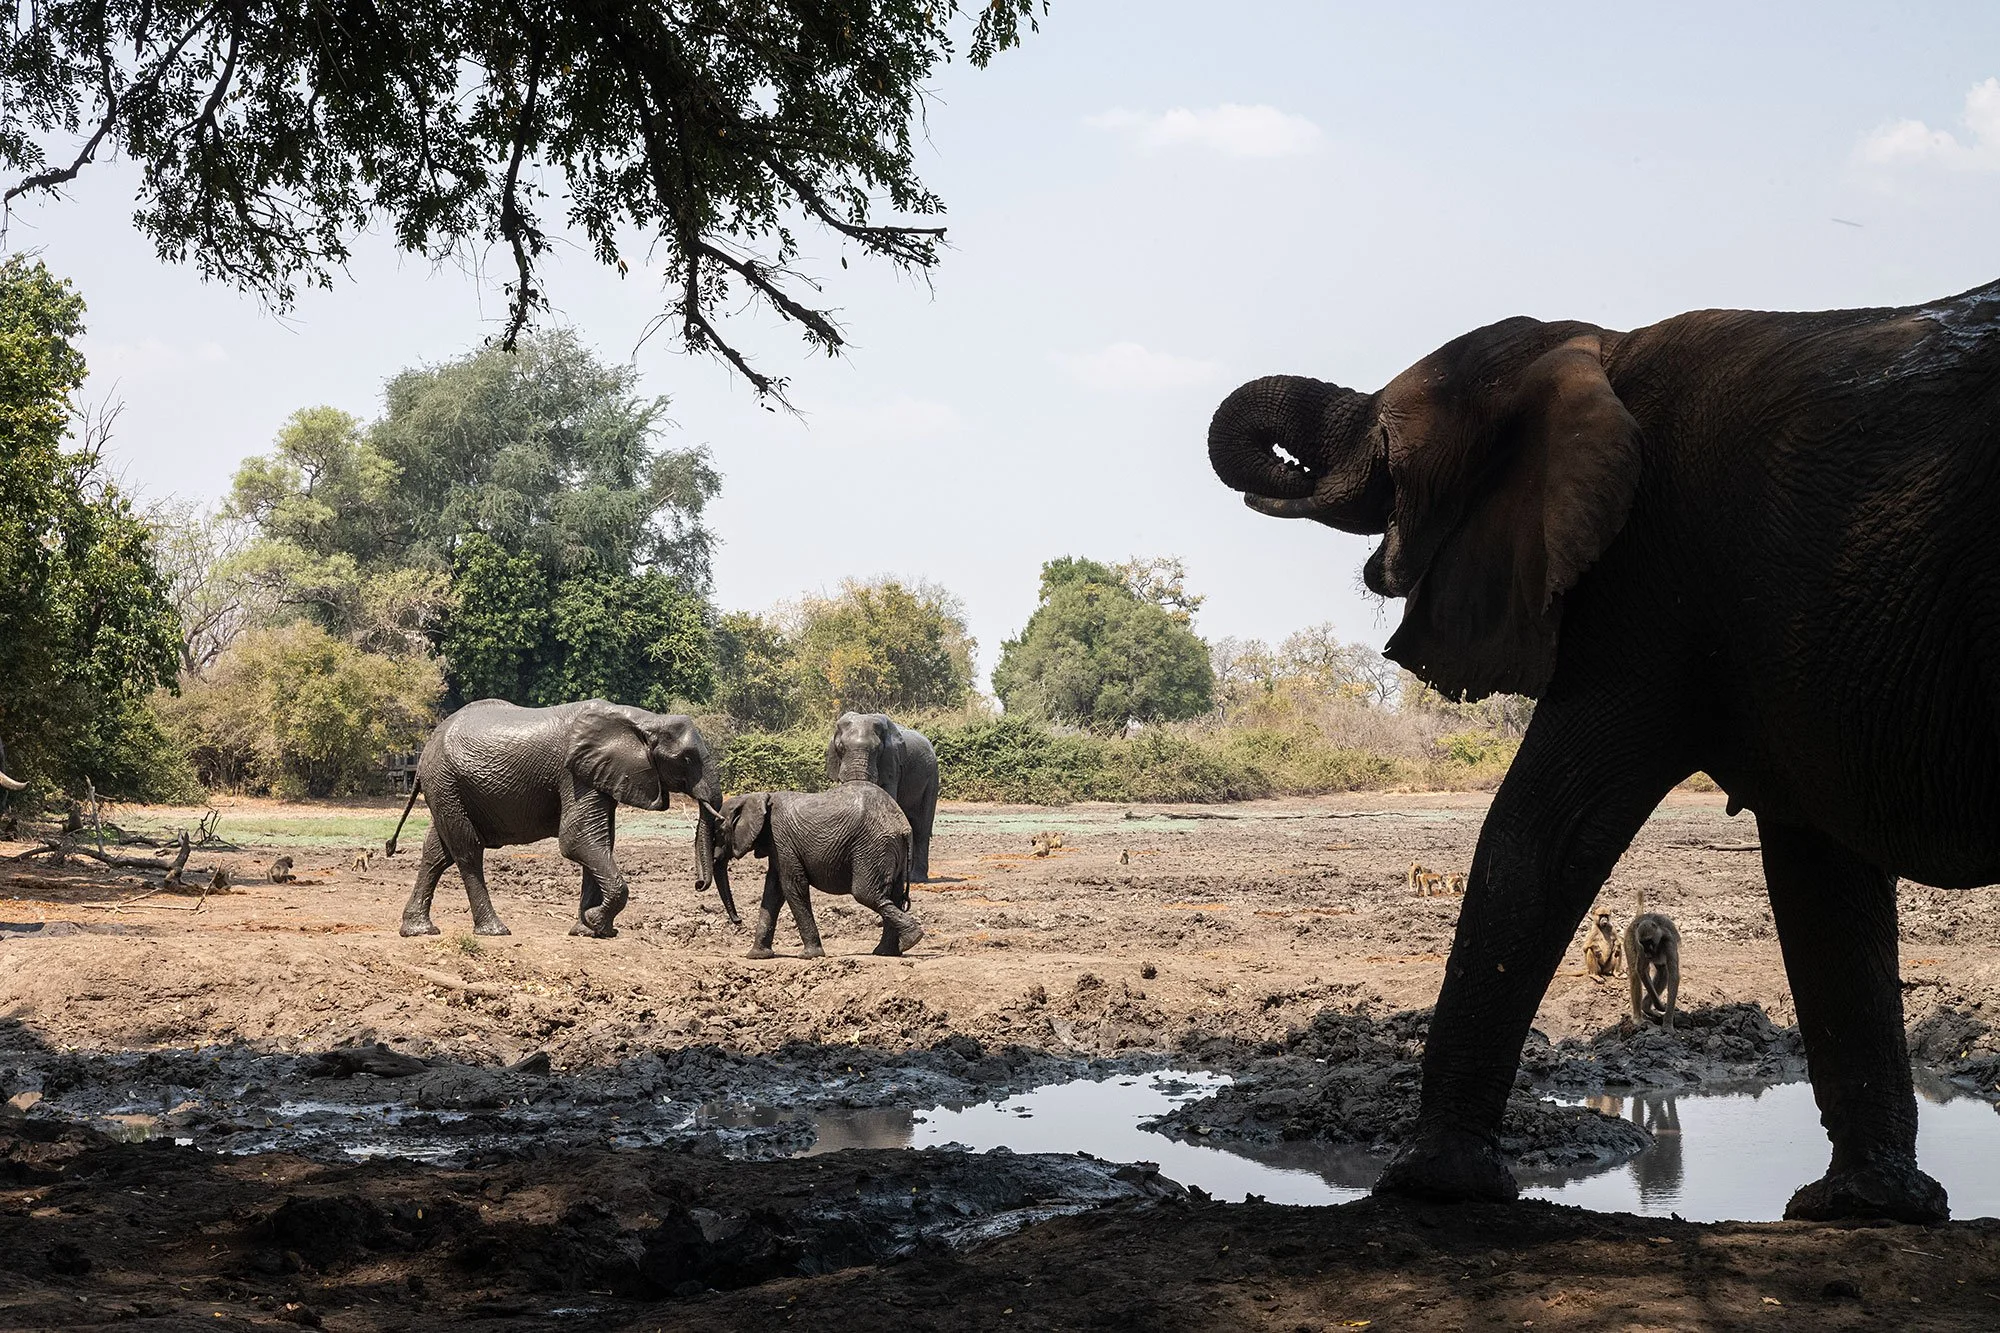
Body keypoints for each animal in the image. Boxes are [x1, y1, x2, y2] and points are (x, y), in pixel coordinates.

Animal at [386, 698, 736, 938]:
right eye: (686, 759)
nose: (698, 884)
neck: (642, 719)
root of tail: (427, 745)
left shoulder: (600, 775)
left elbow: (601, 842)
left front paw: (591, 931)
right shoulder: (574, 774)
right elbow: (578, 839)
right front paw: (595, 923)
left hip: (447, 786)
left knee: (437, 852)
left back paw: (418, 930)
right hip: (446, 781)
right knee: (467, 850)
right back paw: (495, 930)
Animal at [716, 783, 922, 959]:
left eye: (719, 832)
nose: (738, 921)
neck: (759, 798)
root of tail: (903, 826)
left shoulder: (781, 840)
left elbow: (792, 886)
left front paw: (809, 956)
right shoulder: (777, 847)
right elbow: (773, 892)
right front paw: (756, 956)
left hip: (873, 846)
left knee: (867, 894)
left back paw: (912, 939)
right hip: (890, 849)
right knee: (892, 895)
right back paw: (888, 951)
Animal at [826, 712, 939, 881]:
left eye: (876, 749)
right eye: (841, 747)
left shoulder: (892, 764)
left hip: (932, 778)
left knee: (921, 827)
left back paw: (917, 879)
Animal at [1208, 279, 2000, 1224]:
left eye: (1393, 436)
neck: (1595, 348)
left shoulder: (1644, 578)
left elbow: (1544, 827)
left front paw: (1433, 1186)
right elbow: (1824, 878)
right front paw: (1866, 1206)